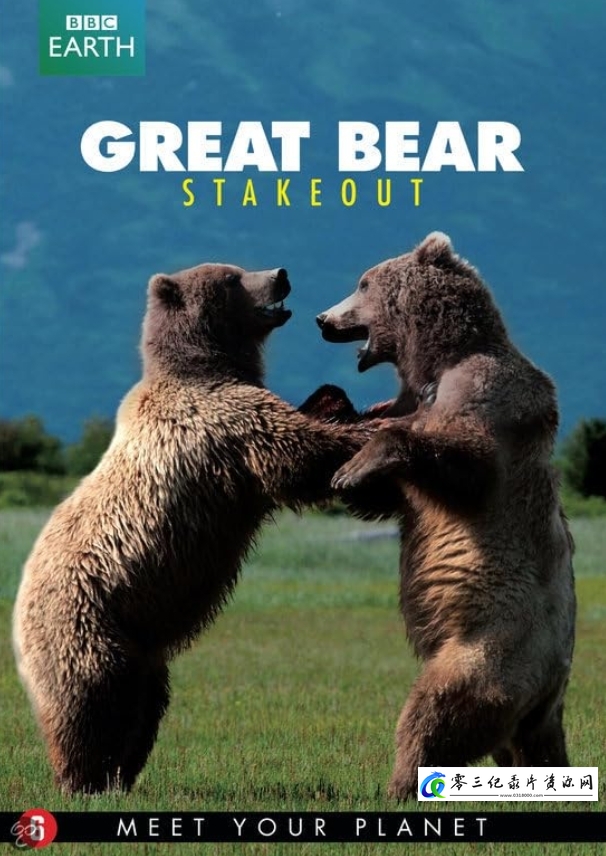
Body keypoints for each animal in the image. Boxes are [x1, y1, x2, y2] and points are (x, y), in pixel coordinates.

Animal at [12, 263, 381, 795]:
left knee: (143, 705)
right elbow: (295, 453)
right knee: (90, 701)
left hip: (141, 647)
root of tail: (17, 611)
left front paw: (337, 399)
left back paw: (120, 774)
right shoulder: (220, 421)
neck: (208, 365)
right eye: (231, 277)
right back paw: (83, 778)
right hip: (84, 622)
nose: (281, 274)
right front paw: (369, 427)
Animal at [316, 232, 576, 801]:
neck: (432, 364)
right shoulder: (406, 402)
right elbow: (393, 489)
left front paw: (352, 467)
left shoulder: (488, 394)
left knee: (437, 709)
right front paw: (339, 434)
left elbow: (467, 462)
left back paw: (398, 783)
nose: (323, 318)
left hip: (494, 648)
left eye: (363, 282)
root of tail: (552, 694)